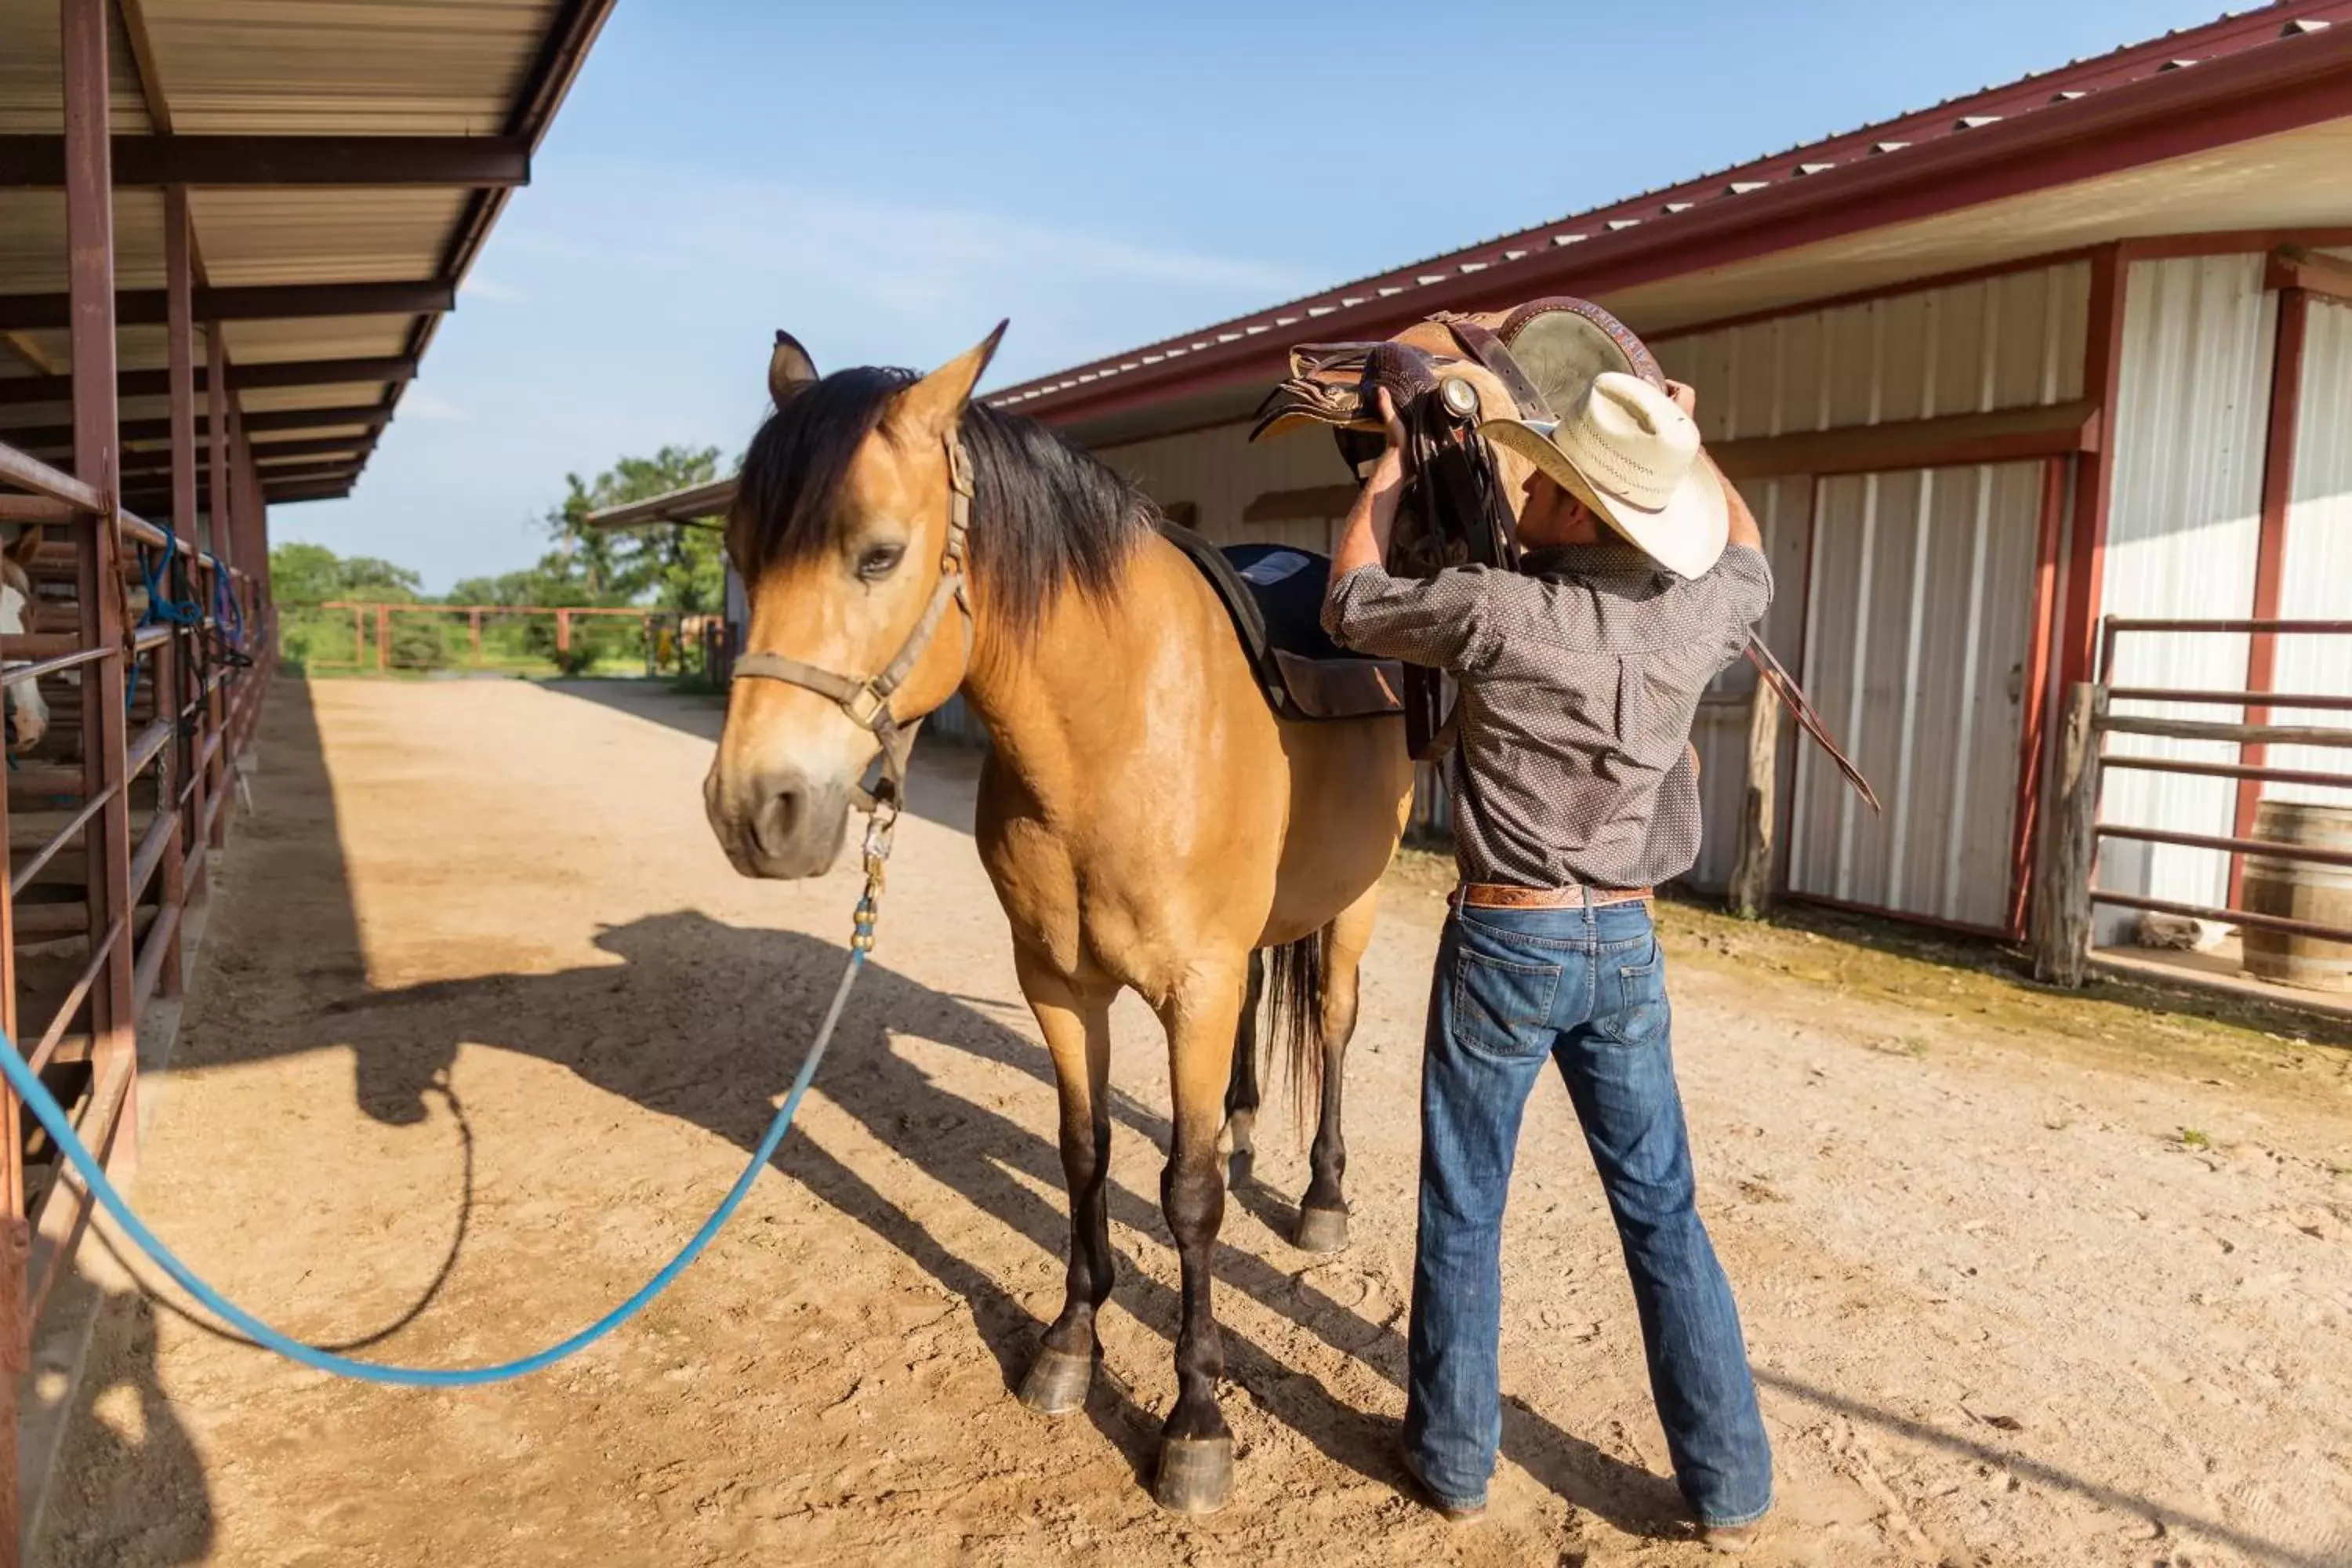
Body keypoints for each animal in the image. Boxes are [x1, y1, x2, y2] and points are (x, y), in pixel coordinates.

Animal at [701, 324, 1411, 1514]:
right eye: (743, 558)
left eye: (878, 555)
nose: (755, 810)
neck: (1114, 723)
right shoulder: (1058, 983)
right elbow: (1084, 1155)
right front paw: (1071, 1343)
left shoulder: (1192, 986)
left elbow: (1186, 1196)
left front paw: (1196, 1418)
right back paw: (1251, 1133)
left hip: (1351, 912)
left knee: (1334, 1029)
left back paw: (1320, 1194)